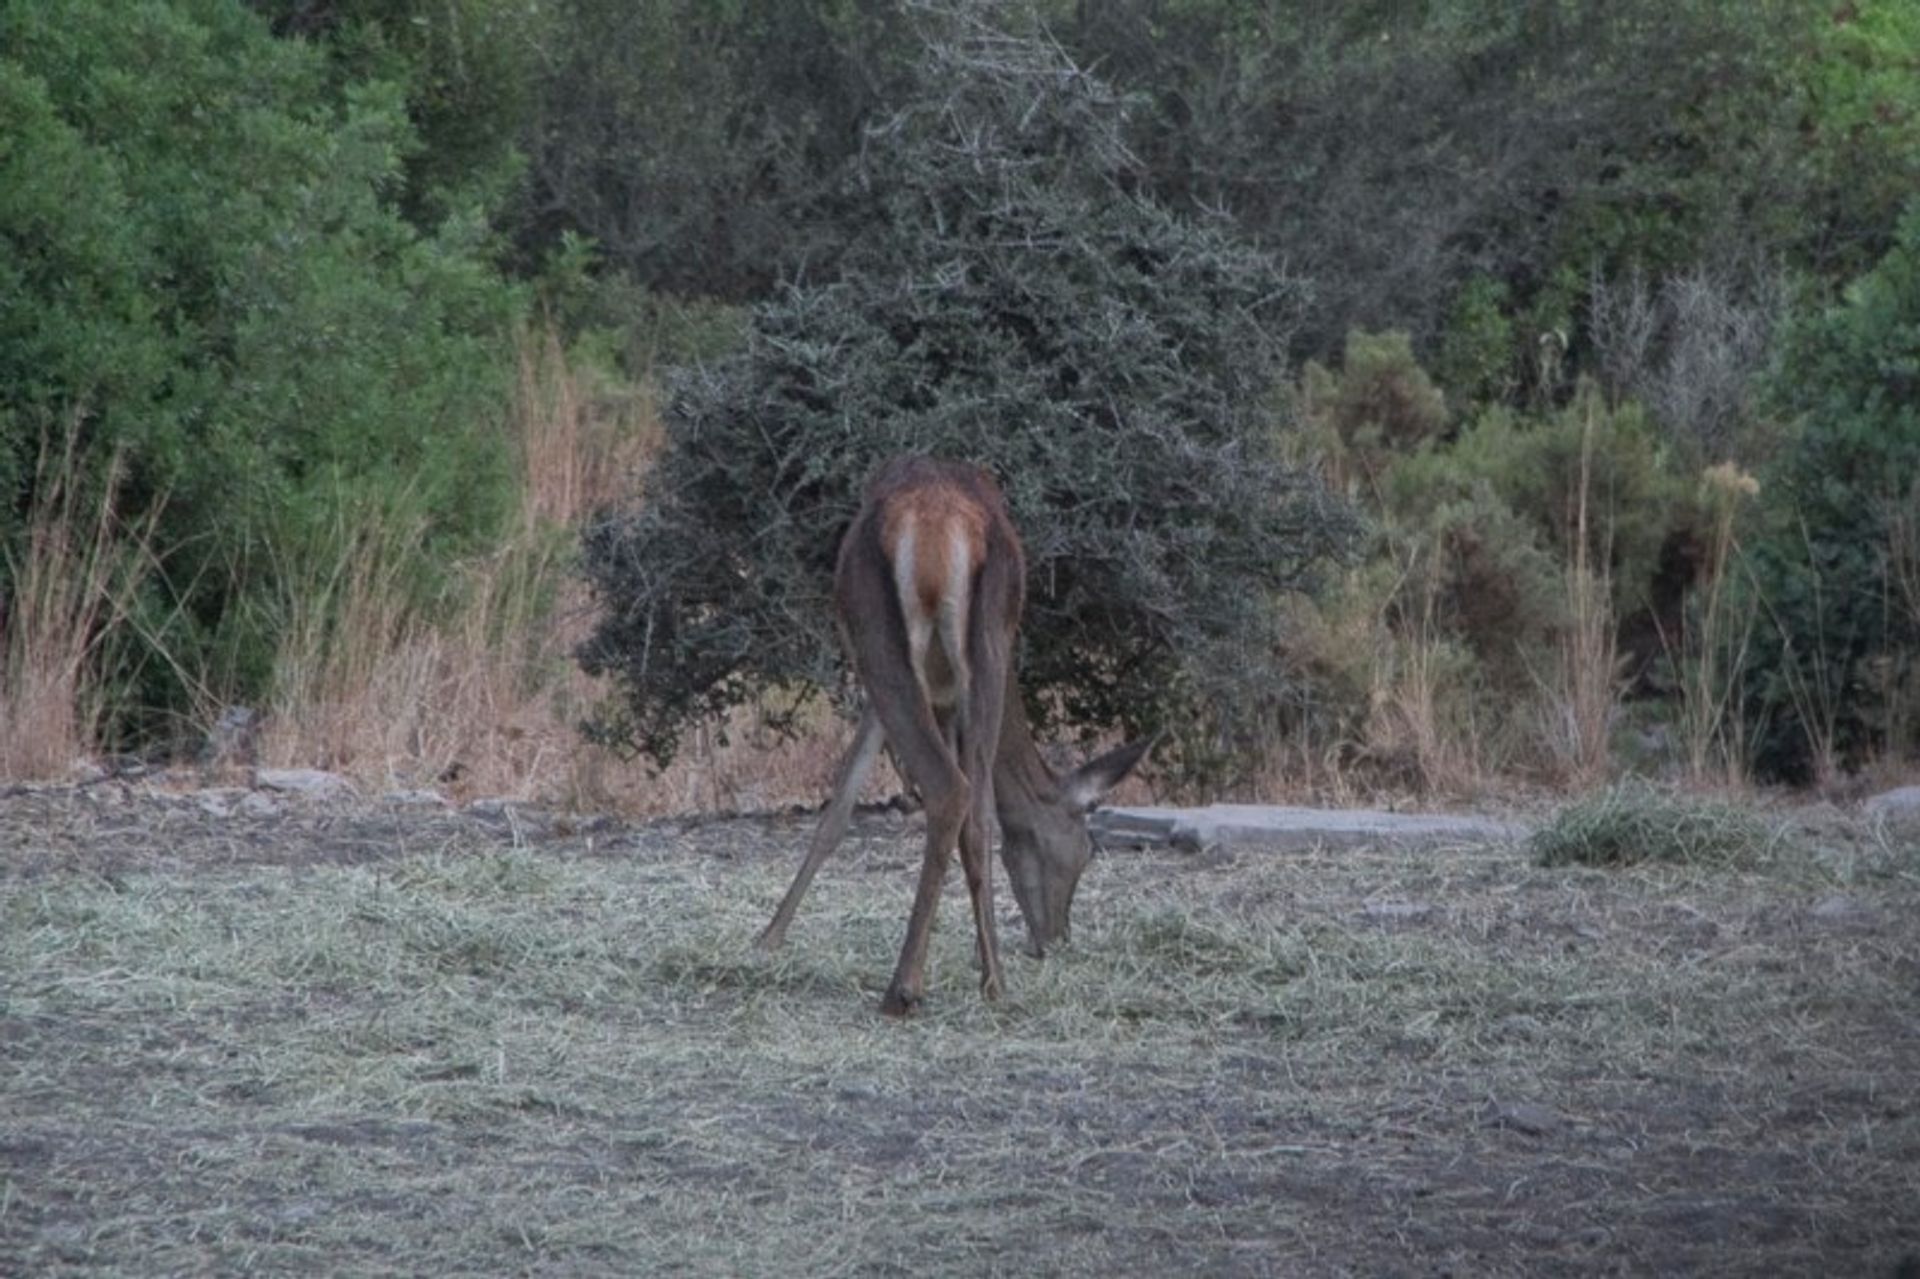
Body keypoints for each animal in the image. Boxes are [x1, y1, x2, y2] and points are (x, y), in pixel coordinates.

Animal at [752, 453, 1144, 1013]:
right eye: (1087, 851)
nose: (1054, 939)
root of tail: (939, 525)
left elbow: (841, 804)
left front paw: (768, 936)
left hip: (886, 645)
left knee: (952, 790)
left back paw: (914, 986)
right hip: (978, 644)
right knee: (969, 803)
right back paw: (976, 982)